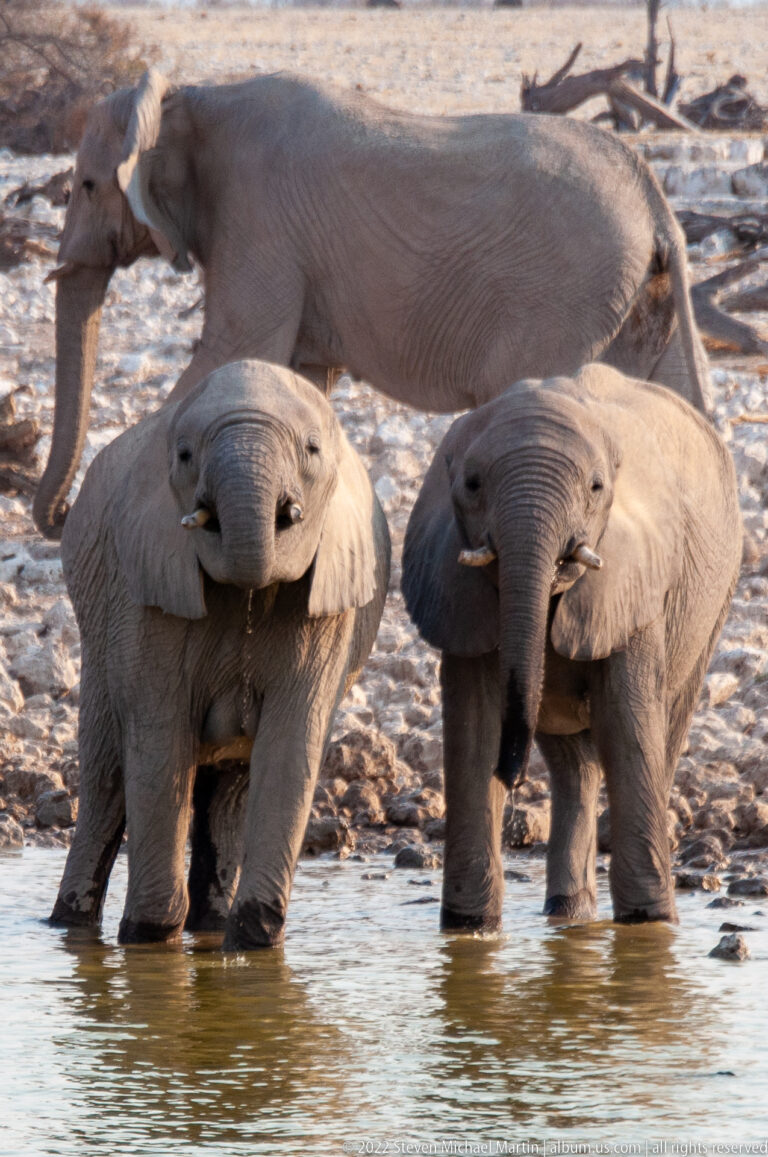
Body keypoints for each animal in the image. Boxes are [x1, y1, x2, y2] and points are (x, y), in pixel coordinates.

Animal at [35, 67, 711, 538]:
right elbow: (295, 380)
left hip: (564, 301)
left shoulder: (260, 223)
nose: (60, 516)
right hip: (638, 301)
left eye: (87, 185)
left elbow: (231, 357)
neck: (194, 96)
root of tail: (659, 211)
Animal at [49, 359, 390, 949]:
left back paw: (210, 927)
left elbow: (290, 745)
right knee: (106, 781)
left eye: (311, 449)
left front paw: (255, 941)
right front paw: (149, 937)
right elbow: (159, 739)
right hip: (97, 635)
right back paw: (69, 925)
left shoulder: (329, 605)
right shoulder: (145, 584)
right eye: (185, 455)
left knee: (229, 793)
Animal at [402, 364, 741, 930]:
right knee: (572, 764)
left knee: (662, 733)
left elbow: (627, 721)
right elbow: (473, 725)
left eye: (596, 487)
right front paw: (468, 931)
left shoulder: (636, 578)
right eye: (471, 484)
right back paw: (567, 913)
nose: (511, 775)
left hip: (712, 603)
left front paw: (649, 925)